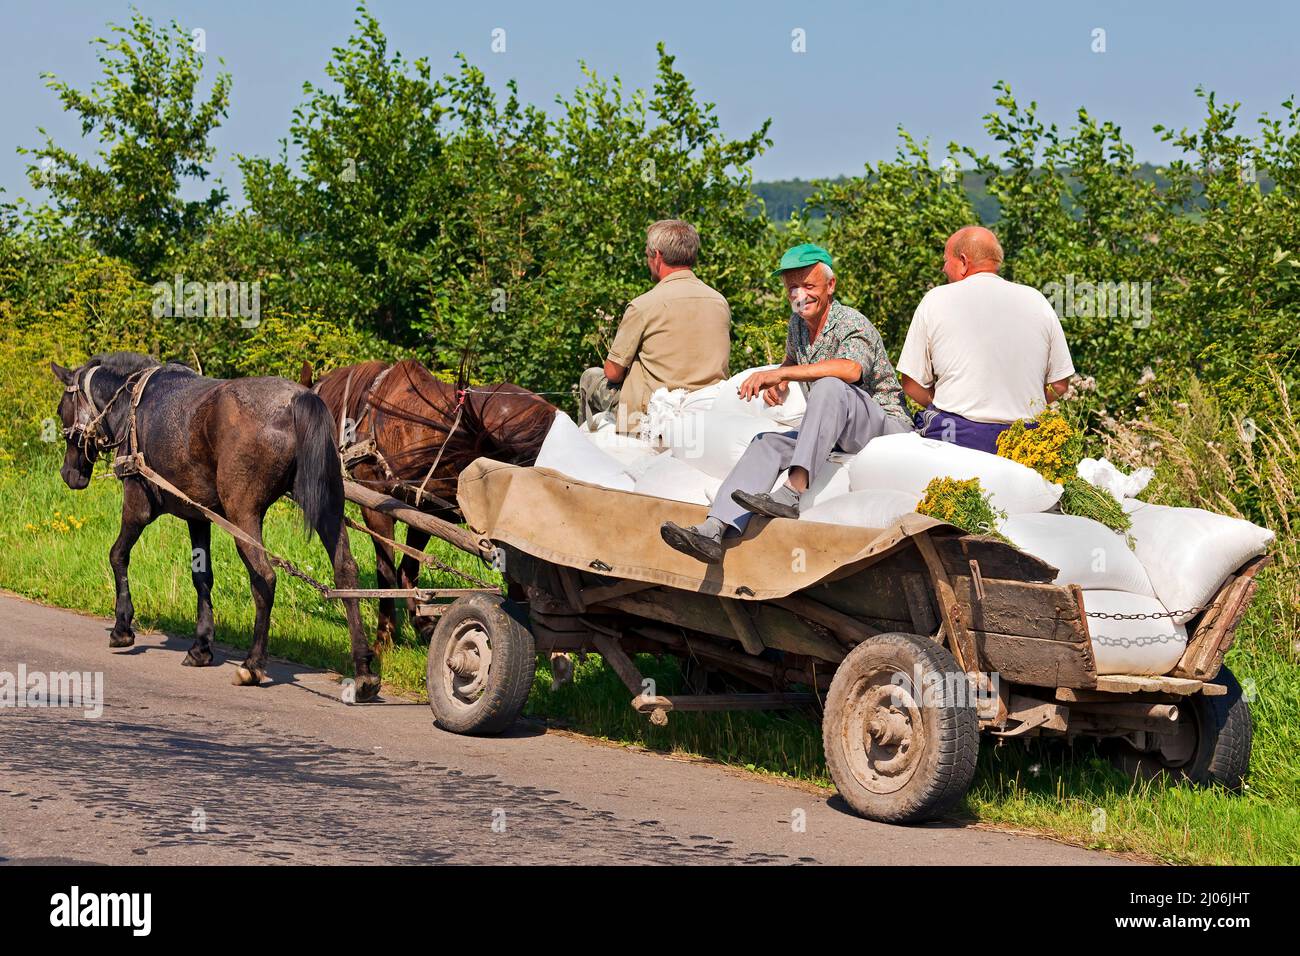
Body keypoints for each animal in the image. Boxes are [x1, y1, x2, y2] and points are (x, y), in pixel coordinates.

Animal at [49, 348, 379, 697]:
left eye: (61, 409)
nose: (69, 473)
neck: (130, 405)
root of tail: (299, 399)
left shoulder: (138, 504)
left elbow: (118, 555)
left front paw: (122, 628)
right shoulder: (198, 516)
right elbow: (202, 577)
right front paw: (201, 646)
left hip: (243, 514)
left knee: (265, 578)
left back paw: (252, 664)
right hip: (328, 505)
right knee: (345, 571)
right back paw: (364, 670)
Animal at [312, 358, 561, 642]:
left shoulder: (377, 506)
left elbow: (385, 571)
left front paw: (385, 635)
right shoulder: (424, 510)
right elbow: (408, 568)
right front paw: (423, 624)